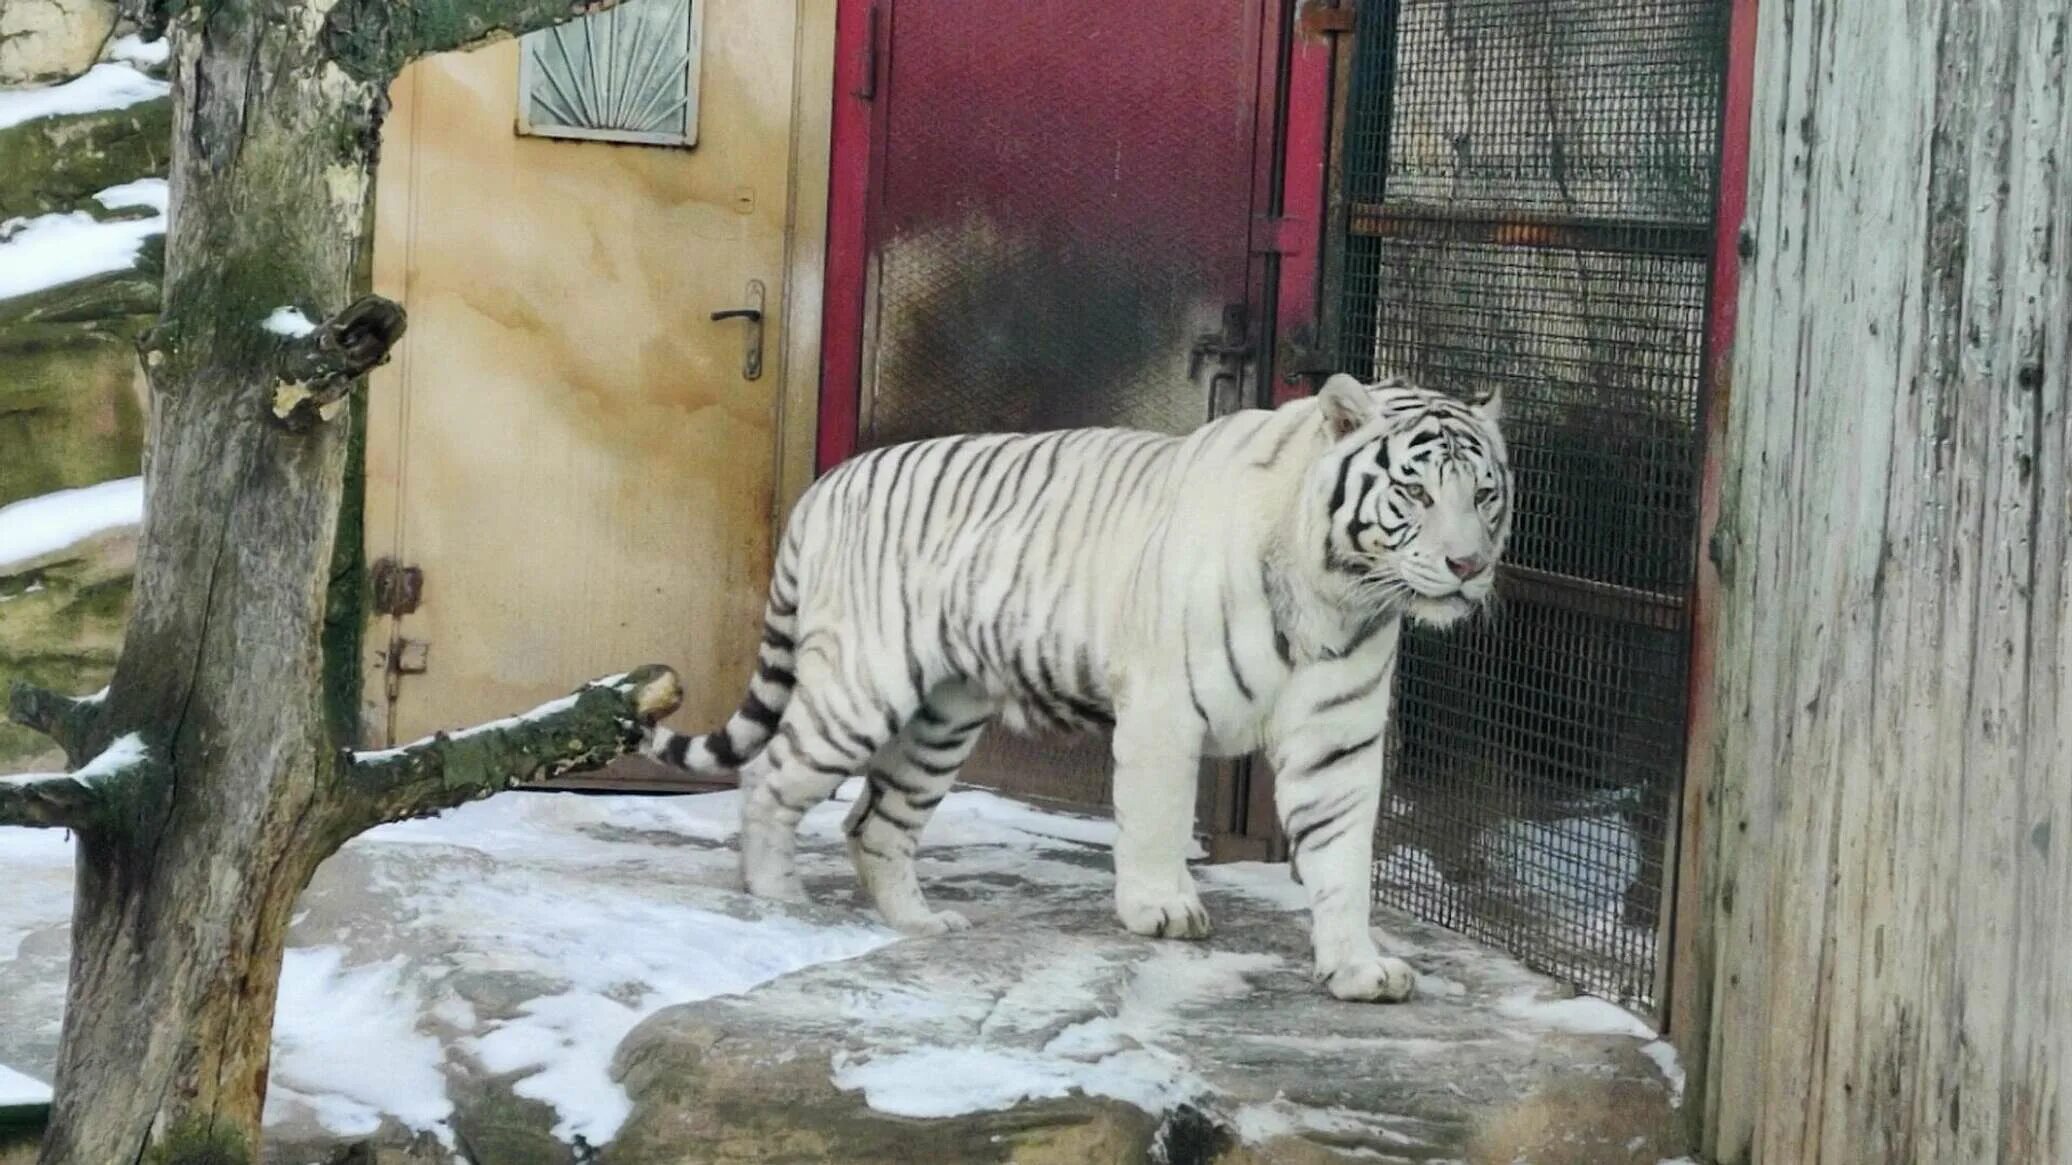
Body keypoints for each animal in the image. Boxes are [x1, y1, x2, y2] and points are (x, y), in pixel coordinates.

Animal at [638, 371, 1516, 999]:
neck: (1341, 593)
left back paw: (923, 923)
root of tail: (825, 485)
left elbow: (1342, 857)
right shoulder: (1166, 706)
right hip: (860, 689)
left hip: (941, 718)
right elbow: (1158, 819)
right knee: (768, 774)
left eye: (1484, 493)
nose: (1469, 565)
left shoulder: (1336, 732)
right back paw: (778, 895)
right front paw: (1163, 909)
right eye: (1414, 491)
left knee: (874, 821)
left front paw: (1357, 967)